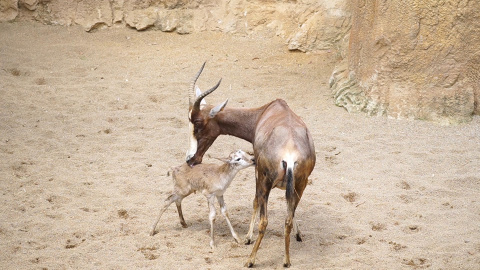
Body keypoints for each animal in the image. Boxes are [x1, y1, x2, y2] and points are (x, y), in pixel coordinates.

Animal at [185, 62, 316, 266]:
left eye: (198, 123)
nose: (190, 159)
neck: (268, 111)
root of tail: (290, 154)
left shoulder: (257, 171)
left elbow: (254, 201)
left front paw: (247, 237)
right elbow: (291, 211)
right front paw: (298, 234)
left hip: (266, 181)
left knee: (265, 220)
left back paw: (250, 260)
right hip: (301, 183)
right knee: (287, 219)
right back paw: (286, 261)